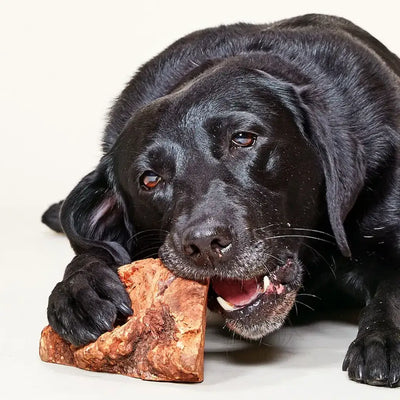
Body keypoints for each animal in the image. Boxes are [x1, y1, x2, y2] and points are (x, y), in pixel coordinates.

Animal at [42, 14, 400, 386]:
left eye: (243, 139)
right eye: (150, 179)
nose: (204, 243)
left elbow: (394, 289)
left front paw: (382, 338)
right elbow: (89, 251)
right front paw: (79, 287)